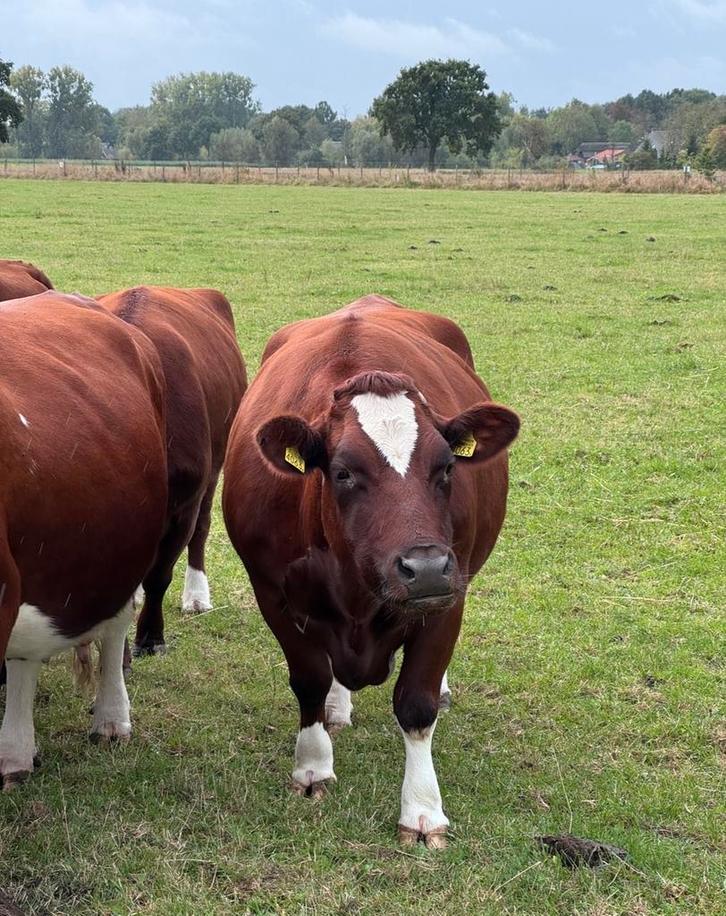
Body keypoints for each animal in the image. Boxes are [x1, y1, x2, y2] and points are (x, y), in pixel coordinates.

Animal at [96, 286, 247, 659]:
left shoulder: (184, 504)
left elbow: (160, 575)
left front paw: (150, 637)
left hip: (215, 464)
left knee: (202, 528)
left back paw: (196, 595)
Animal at [222, 294, 519, 847]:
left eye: (448, 467)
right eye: (343, 473)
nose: (425, 566)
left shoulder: (448, 597)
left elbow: (416, 704)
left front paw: (422, 808)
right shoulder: (271, 592)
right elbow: (310, 678)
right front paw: (312, 766)